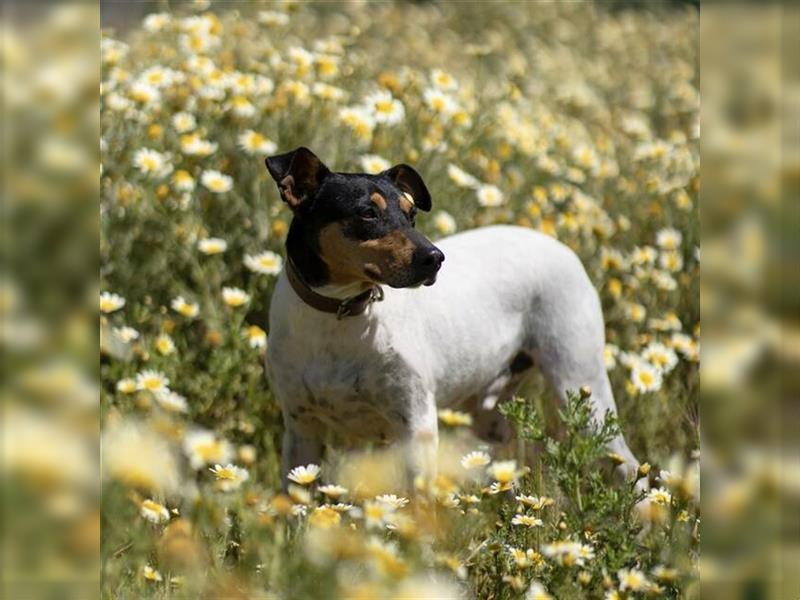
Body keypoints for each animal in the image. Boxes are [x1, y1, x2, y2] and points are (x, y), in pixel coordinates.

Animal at [266, 148, 640, 490]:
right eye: (367, 213)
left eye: (412, 214)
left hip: (580, 381)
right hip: (491, 413)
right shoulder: (301, 431)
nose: (434, 258)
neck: (339, 314)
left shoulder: (416, 424)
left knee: (629, 466)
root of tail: (561, 246)